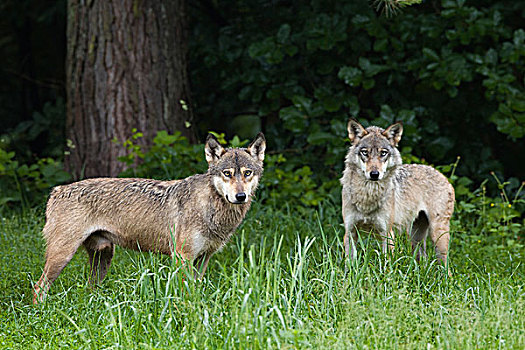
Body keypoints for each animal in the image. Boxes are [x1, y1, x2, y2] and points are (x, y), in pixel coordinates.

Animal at [33, 133, 266, 302]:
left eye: (247, 173)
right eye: (227, 173)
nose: (240, 196)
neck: (210, 205)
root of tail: (57, 190)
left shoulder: (203, 259)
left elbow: (196, 291)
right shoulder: (182, 257)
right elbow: (185, 295)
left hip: (103, 258)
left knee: (88, 289)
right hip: (63, 256)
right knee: (38, 287)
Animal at [340, 119, 454, 272]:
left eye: (383, 153)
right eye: (365, 152)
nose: (374, 174)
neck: (367, 197)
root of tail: (442, 175)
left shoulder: (387, 233)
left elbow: (386, 264)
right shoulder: (350, 232)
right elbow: (349, 265)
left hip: (437, 235)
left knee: (445, 266)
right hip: (415, 237)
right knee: (422, 259)